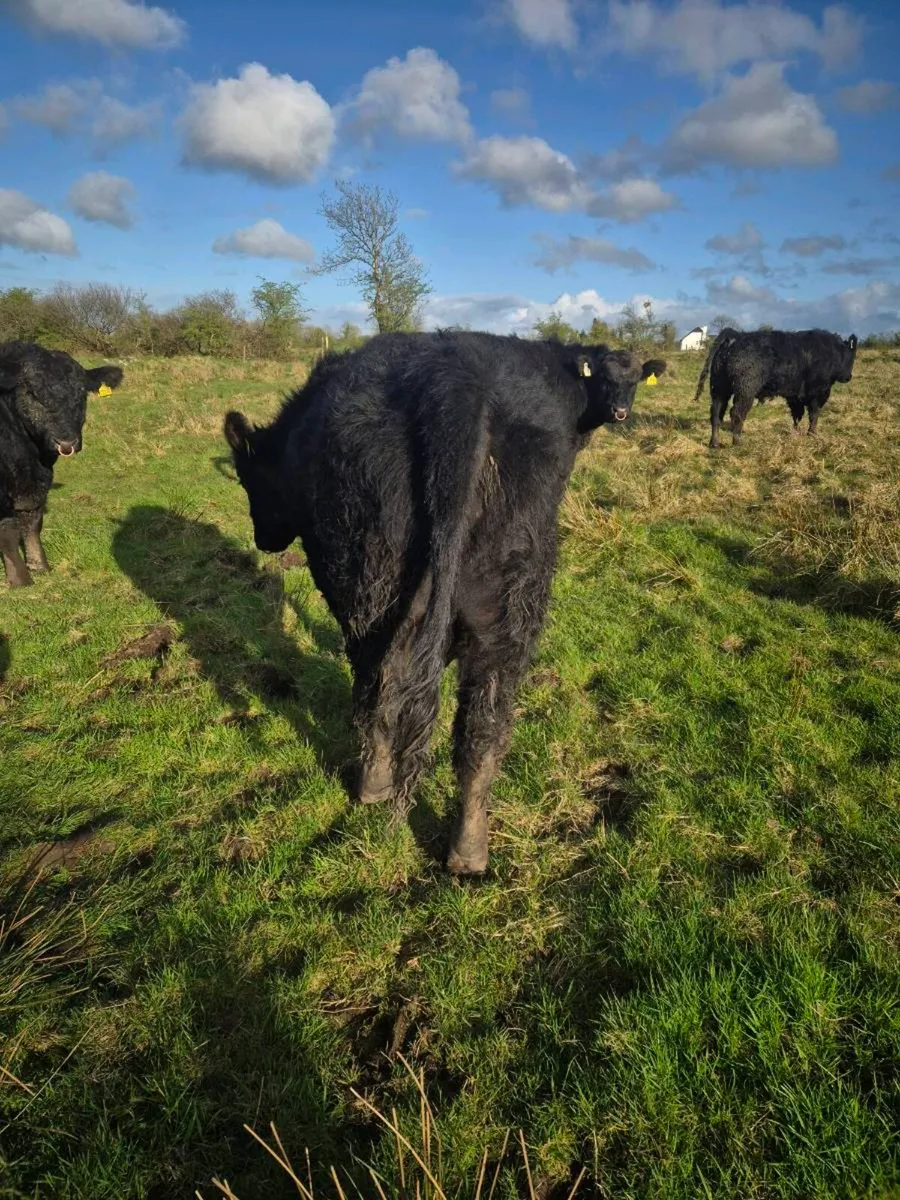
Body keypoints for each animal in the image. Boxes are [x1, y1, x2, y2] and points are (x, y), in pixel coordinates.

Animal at [0, 342, 123, 587]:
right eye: (32, 393)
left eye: (82, 393)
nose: (66, 443)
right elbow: (7, 530)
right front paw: (20, 578)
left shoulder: (33, 483)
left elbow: (32, 521)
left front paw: (39, 565)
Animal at [224, 331, 665, 873]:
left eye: (248, 479)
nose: (263, 540)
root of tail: (456, 380)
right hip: (512, 596)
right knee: (482, 717)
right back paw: (468, 849)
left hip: (368, 582)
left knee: (379, 675)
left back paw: (374, 786)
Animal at [693, 328, 858, 449]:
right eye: (852, 357)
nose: (848, 377)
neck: (832, 351)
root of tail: (735, 335)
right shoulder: (818, 392)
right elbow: (814, 414)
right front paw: (812, 434)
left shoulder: (795, 395)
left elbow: (797, 415)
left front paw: (796, 432)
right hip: (745, 390)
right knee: (737, 413)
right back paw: (738, 442)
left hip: (719, 389)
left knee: (716, 414)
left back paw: (714, 443)